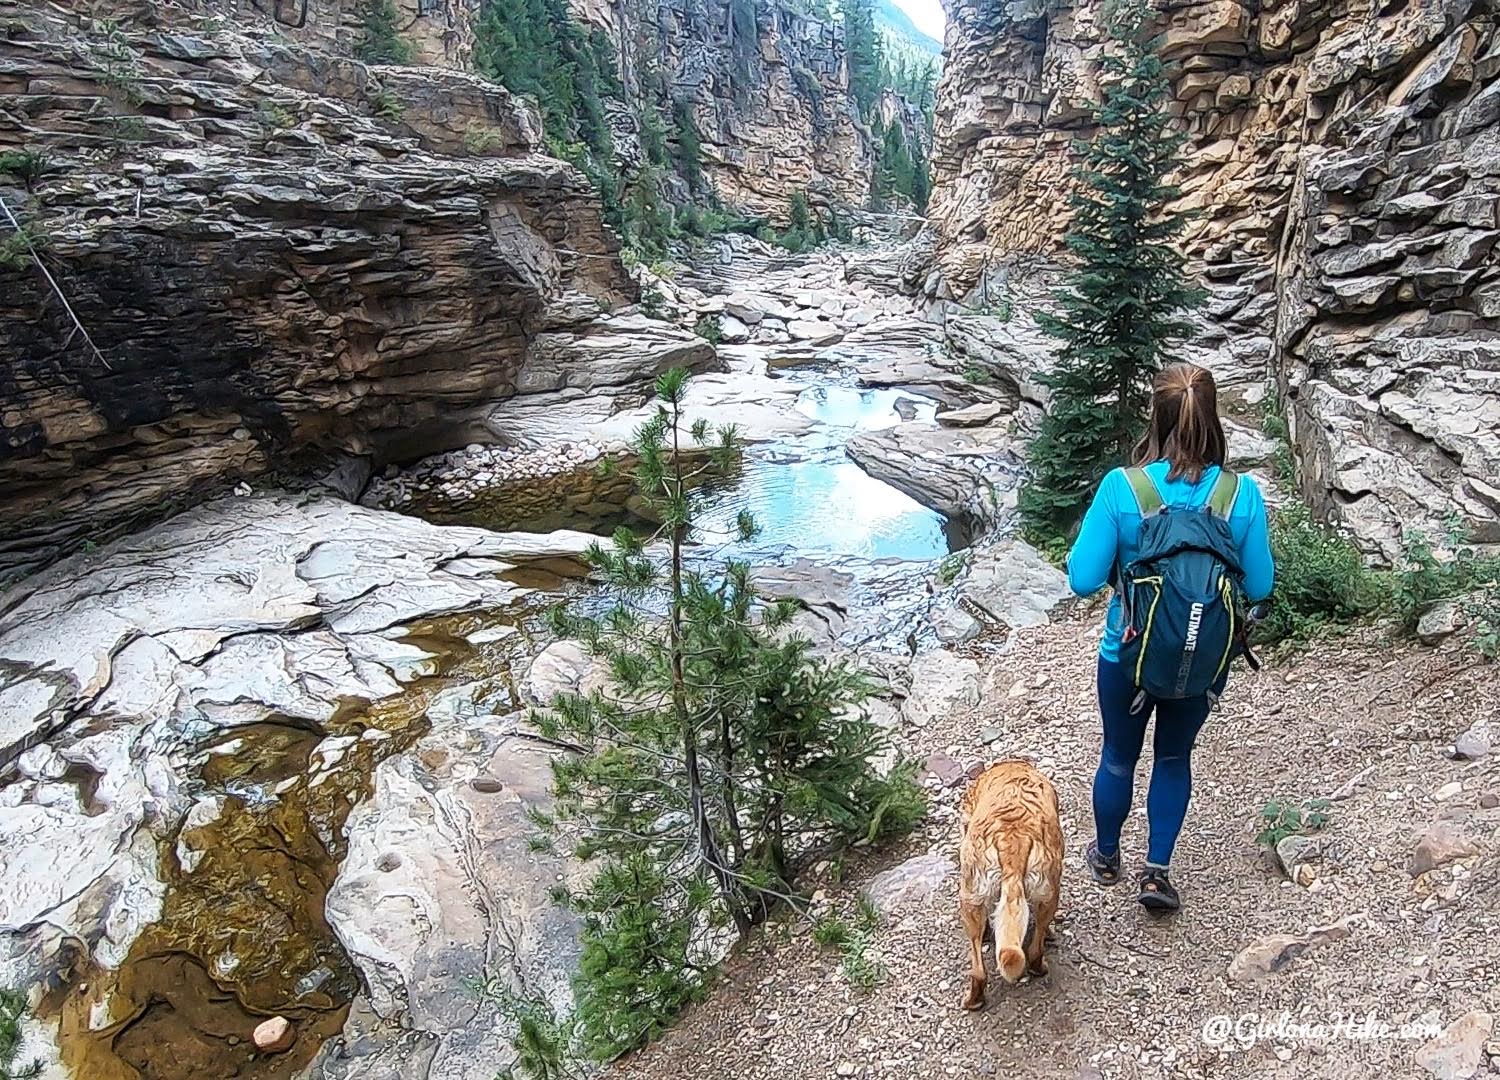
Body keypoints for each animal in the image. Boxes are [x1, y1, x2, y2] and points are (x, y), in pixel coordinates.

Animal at [954, 756, 1062, 1008]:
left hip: (969, 898)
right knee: (1034, 951)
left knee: (979, 970)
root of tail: (1012, 836)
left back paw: (973, 1001)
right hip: (1049, 893)